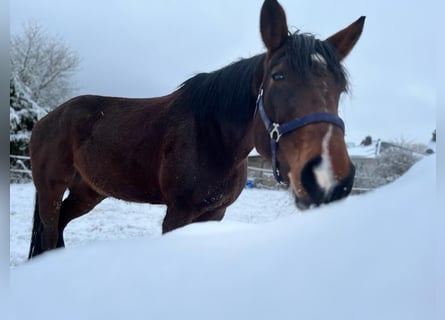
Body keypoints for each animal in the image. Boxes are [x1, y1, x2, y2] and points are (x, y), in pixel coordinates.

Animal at [29, 0, 366, 258]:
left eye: (340, 88)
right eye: (278, 77)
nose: (327, 178)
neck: (212, 137)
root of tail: (46, 119)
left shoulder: (214, 215)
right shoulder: (178, 214)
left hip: (88, 191)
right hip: (50, 189)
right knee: (49, 233)